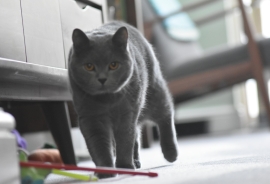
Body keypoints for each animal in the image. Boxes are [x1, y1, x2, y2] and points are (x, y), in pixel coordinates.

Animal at [69, 21, 178, 178]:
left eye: (113, 65)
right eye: (89, 66)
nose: (102, 78)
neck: (108, 100)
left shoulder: (126, 113)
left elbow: (125, 139)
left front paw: (124, 167)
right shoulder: (90, 117)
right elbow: (98, 144)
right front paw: (105, 171)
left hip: (153, 92)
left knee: (165, 114)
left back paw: (171, 153)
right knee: (137, 134)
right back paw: (136, 161)